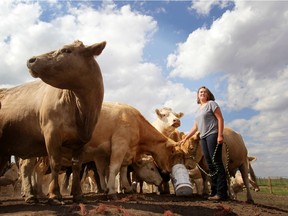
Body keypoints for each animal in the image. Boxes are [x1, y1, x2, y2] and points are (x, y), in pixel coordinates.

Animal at [0, 40, 106, 204]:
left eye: (66, 50)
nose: (31, 60)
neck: (81, 111)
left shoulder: (81, 141)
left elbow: (76, 166)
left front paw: (77, 194)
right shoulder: (52, 134)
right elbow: (55, 163)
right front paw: (55, 194)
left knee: (27, 167)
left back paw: (33, 195)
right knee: (26, 167)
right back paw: (30, 195)